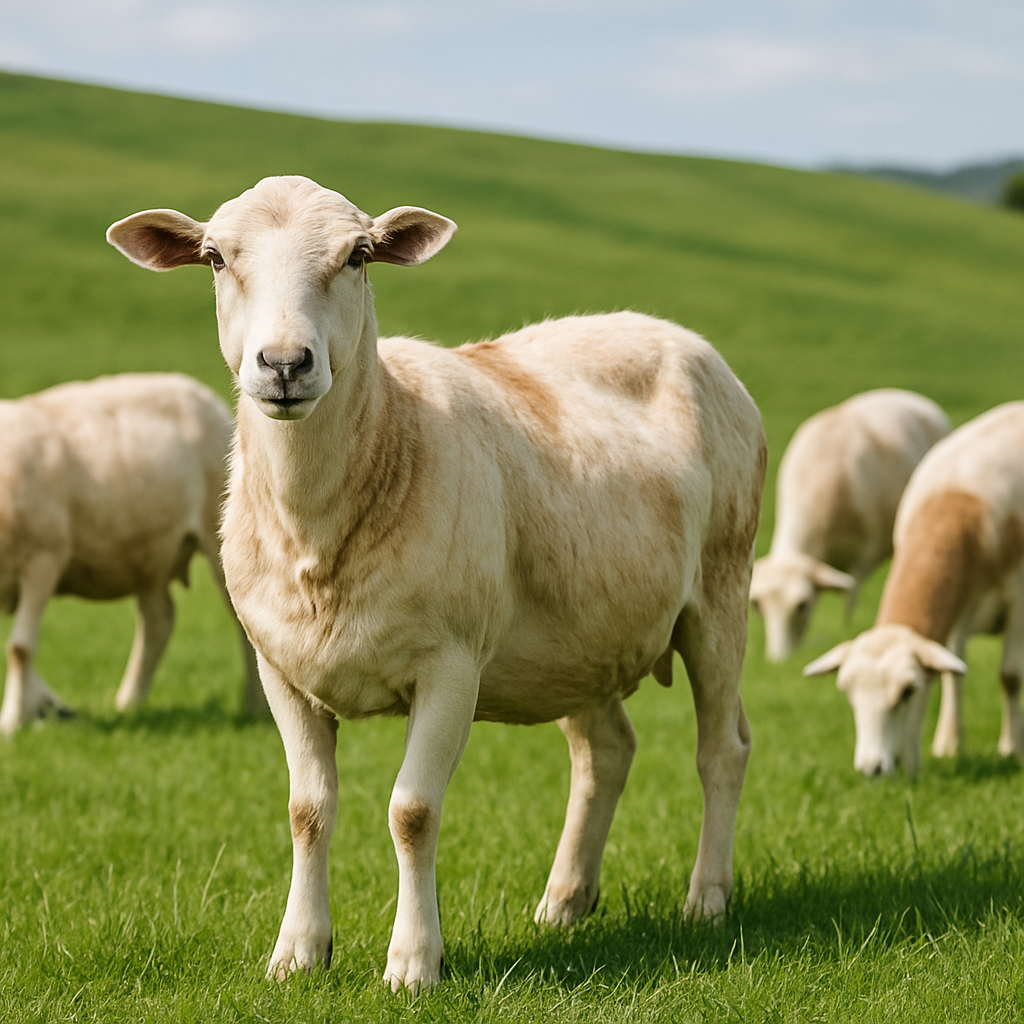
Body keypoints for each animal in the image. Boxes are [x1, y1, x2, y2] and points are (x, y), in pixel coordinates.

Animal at [0, 372, 265, 735]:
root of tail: (198, 391)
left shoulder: (44, 558)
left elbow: (20, 648)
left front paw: (12, 720)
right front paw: (46, 705)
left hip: (217, 535)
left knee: (242, 622)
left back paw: (255, 706)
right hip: (148, 554)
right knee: (159, 620)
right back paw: (129, 704)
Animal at [106, 174, 767, 994]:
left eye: (358, 256)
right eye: (216, 259)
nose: (286, 363)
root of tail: (675, 333)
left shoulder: (450, 663)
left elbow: (412, 811)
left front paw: (415, 962)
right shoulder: (280, 669)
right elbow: (306, 810)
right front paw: (298, 953)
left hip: (721, 588)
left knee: (723, 750)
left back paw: (707, 898)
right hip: (579, 637)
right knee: (606, 751)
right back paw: (565, 902)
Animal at [750, 389, 949, 661]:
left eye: (801, 605)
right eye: (758, 606)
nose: (779, 659)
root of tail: (908, 395)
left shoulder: (863, 554)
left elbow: (850, 602)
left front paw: (847, 629)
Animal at [803, 402, 1024, 775]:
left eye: (907, 692)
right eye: (848, 693)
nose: (872, 769)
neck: (959, 497)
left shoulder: (1018, 602)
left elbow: (1010, 676)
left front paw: (1011, 750)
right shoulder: (960, 609)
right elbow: (953, 674)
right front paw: (949, 745)